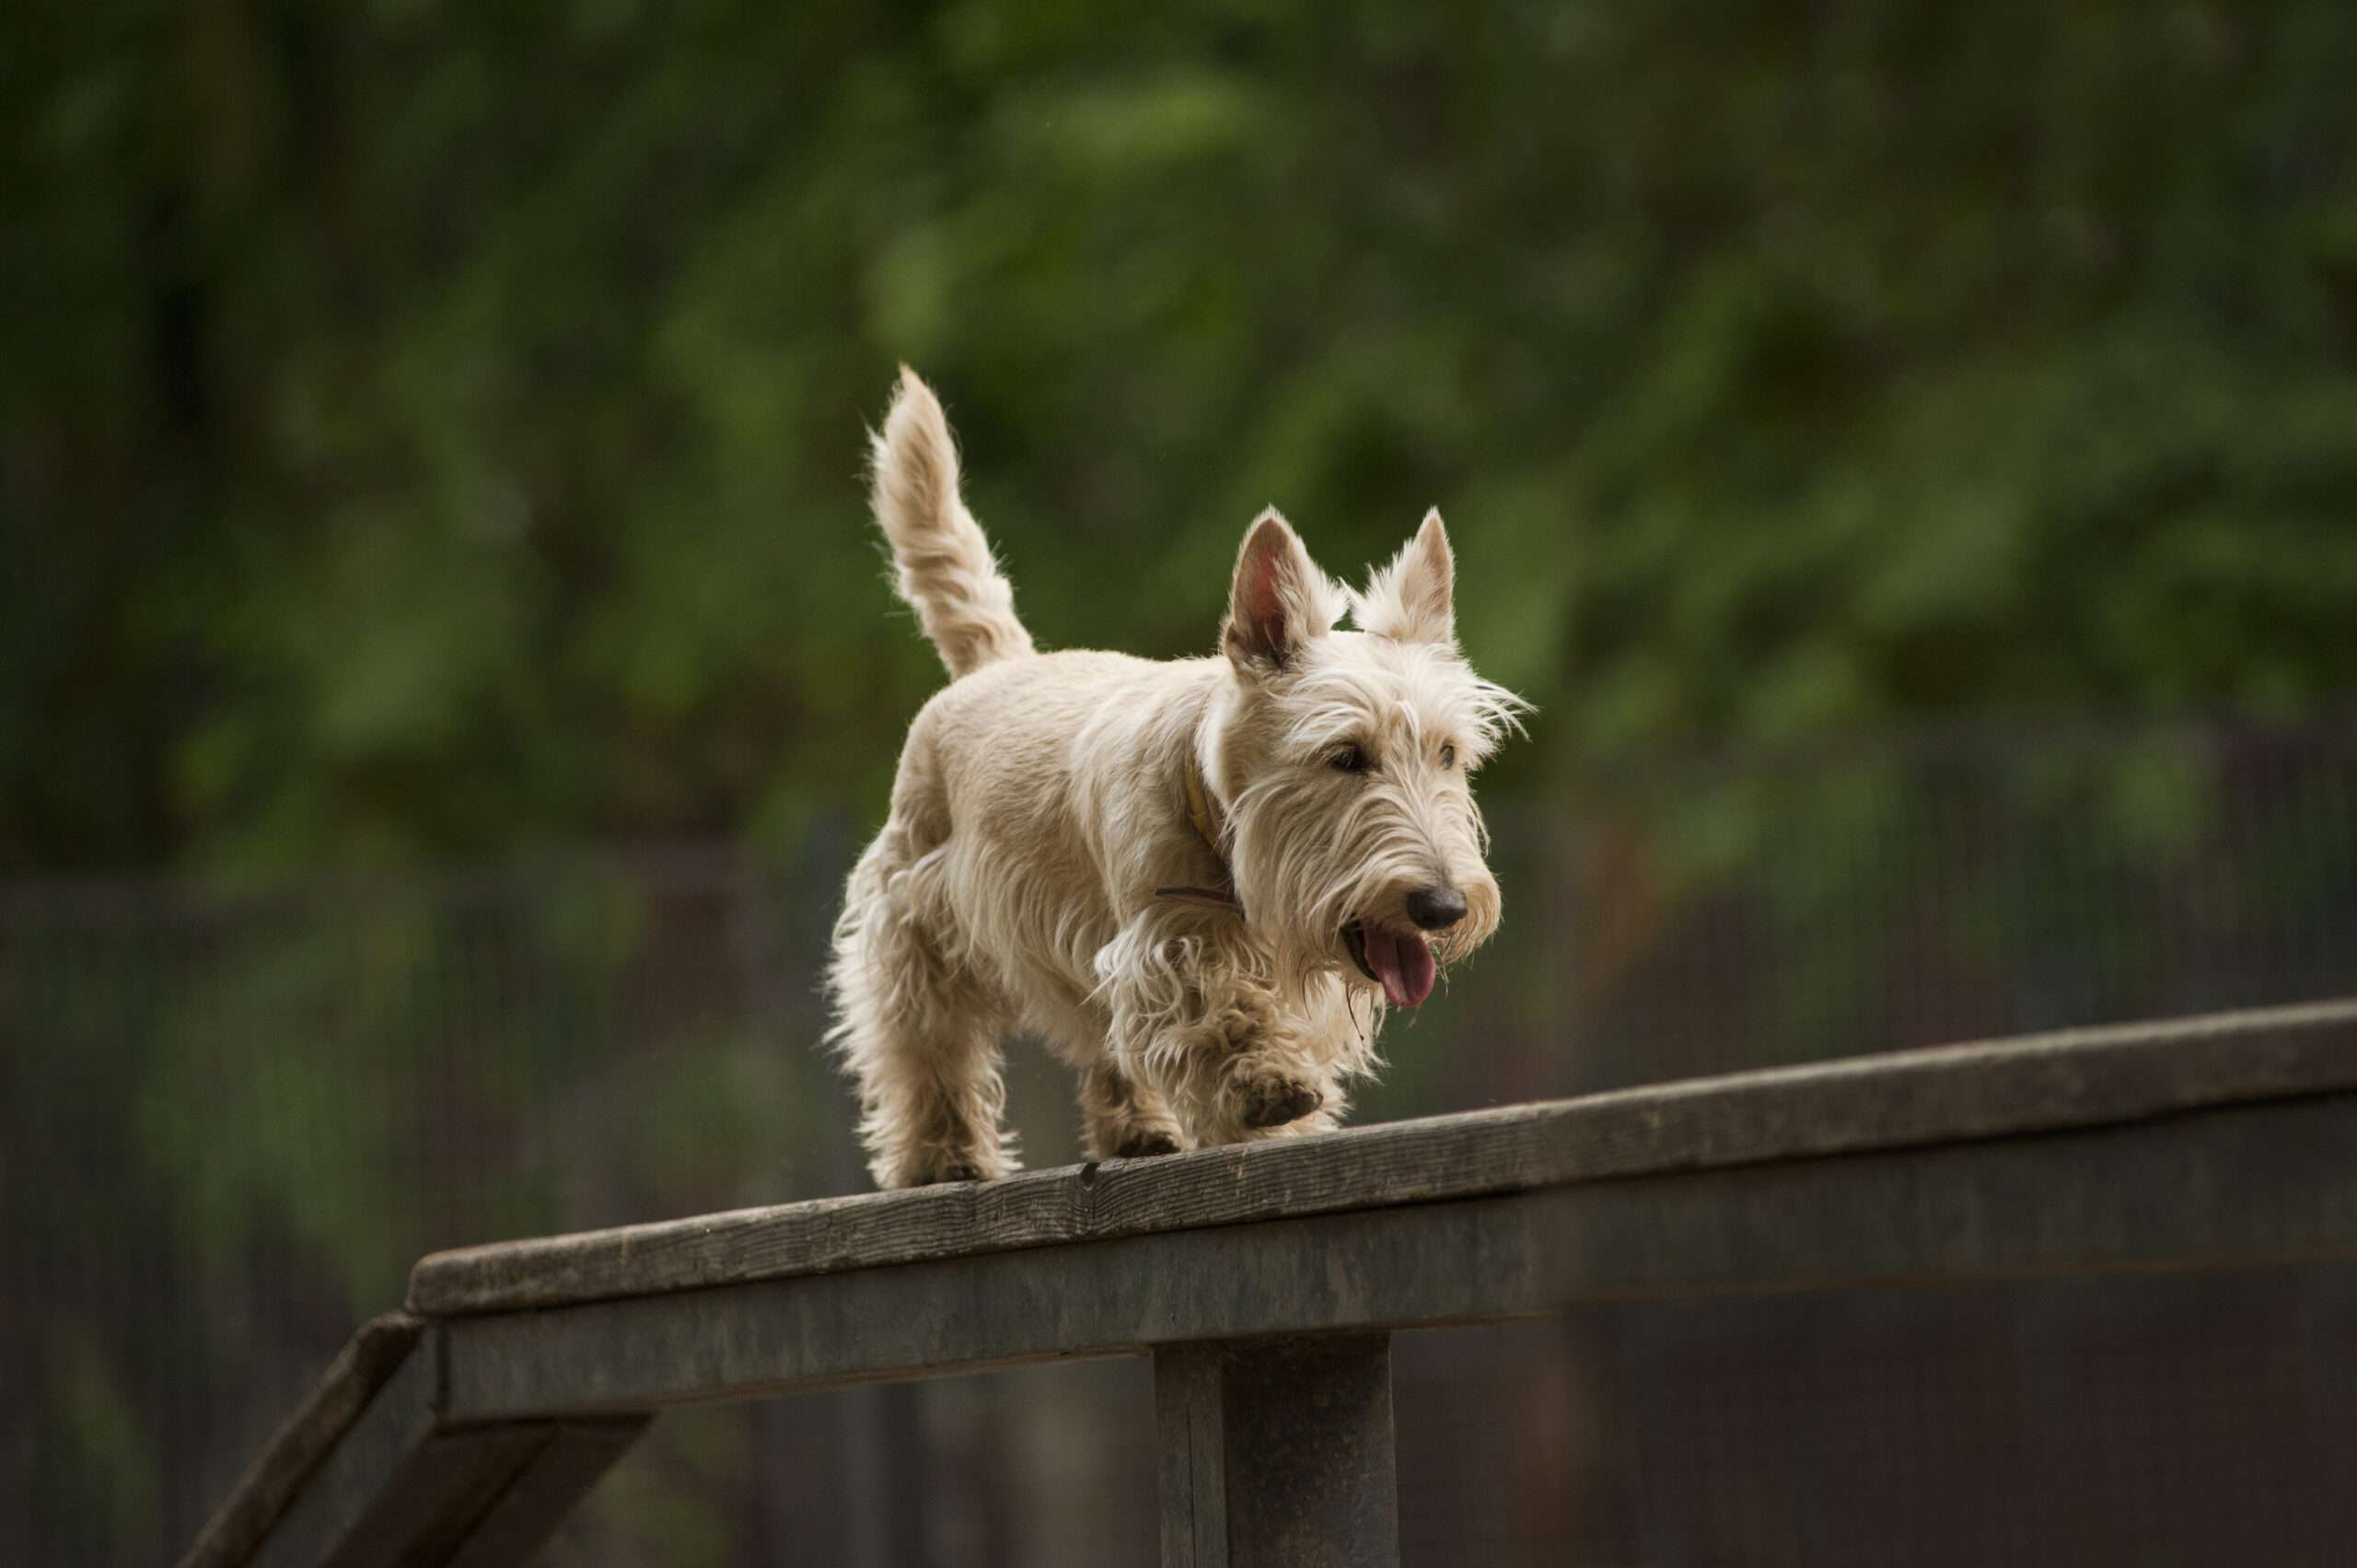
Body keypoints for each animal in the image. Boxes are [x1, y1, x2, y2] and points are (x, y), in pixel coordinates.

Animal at [830, 370, 1527, 1188]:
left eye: (1448, 754)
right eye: (1346, 755)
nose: (1442, 906)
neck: (1220, 817)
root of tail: (998, 661)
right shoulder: (1166, 940)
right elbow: (1211, 1008)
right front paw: (1264, 1084)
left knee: (1100, 1040)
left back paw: (1137, 1130)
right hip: (913, 917)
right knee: (924, 1042)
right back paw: (944, 1154)